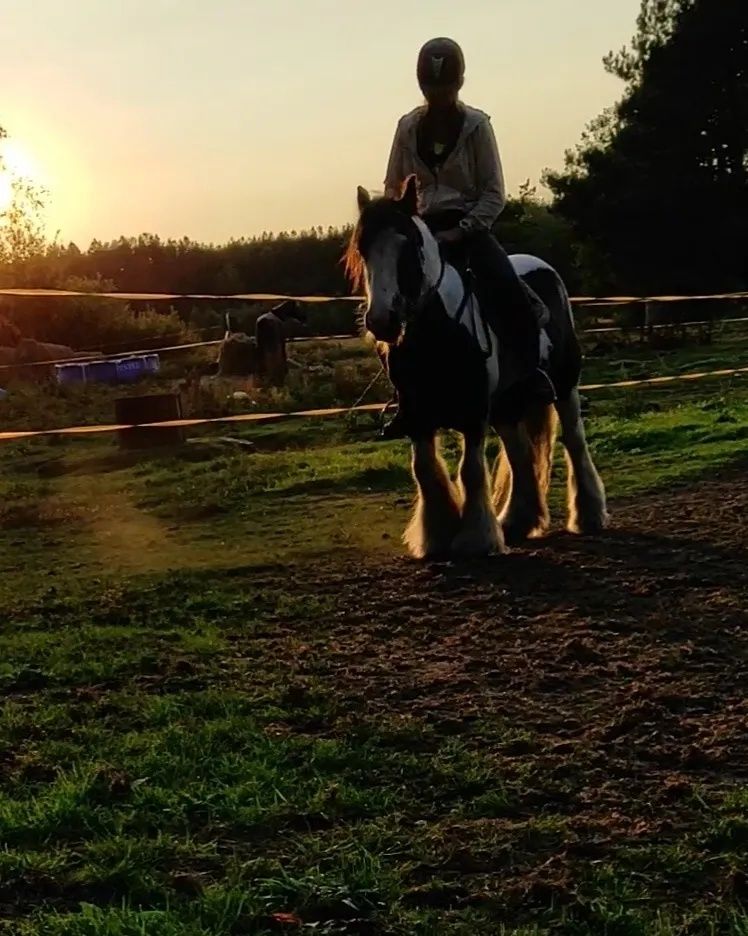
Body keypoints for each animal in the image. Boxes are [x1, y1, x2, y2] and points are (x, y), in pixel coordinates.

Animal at [344, 173, 608, 560]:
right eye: (362, 248)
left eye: (409, 246)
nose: (382, 321)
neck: (440, 335)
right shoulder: (418, 416)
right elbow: (424, 470)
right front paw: (437, 536)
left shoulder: (473, 414)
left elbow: (470, 470)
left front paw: (476, 539)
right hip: (506, 405)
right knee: (520, 454)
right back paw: (516, 521)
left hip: (565, 384)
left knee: (574, 440)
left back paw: (588, 515)